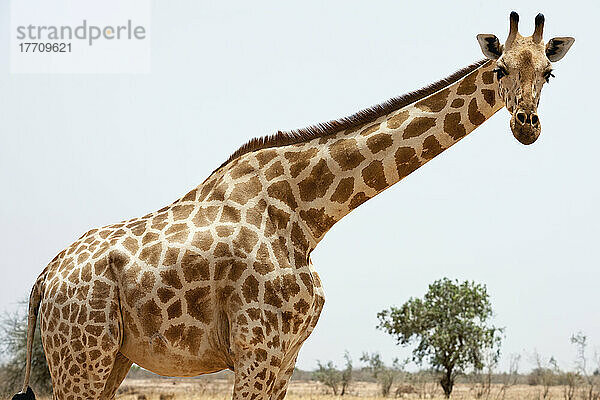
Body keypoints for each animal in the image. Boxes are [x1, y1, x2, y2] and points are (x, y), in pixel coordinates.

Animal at [12, 11, 572, 400]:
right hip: (82, 355)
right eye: (500, 69)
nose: (526, 125)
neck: (307, 215)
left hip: (113, 360)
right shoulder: (256, 350)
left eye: (549, 72)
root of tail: (44, 279)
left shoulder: (284, 356)